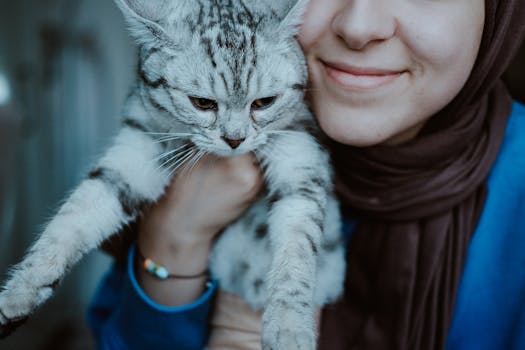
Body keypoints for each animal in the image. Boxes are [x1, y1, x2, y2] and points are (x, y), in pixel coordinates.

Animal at [0, 1, 346, 348]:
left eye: (264, 102)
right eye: (202, 103)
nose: (235, 140)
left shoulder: (300, 156)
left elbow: (296, 250)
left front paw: (288, 325)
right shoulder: (136, 151)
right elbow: (74, 217)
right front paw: (21, 291)